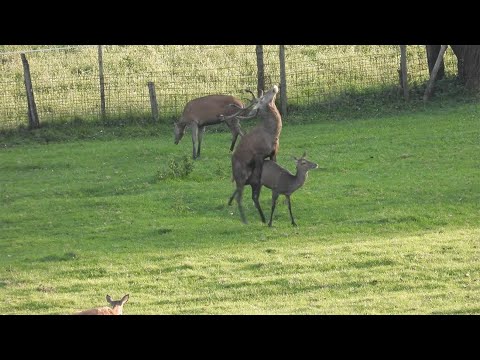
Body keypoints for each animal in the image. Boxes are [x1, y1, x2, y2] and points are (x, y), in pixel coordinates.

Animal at [227, 85, 284, 224]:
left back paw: (230, 201)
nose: (274, 87)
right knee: (240, 194)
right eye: (263, 98)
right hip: (241, 174)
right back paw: (245, 219)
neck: (272, 134)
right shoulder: (259, 155)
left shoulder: (273, 153)